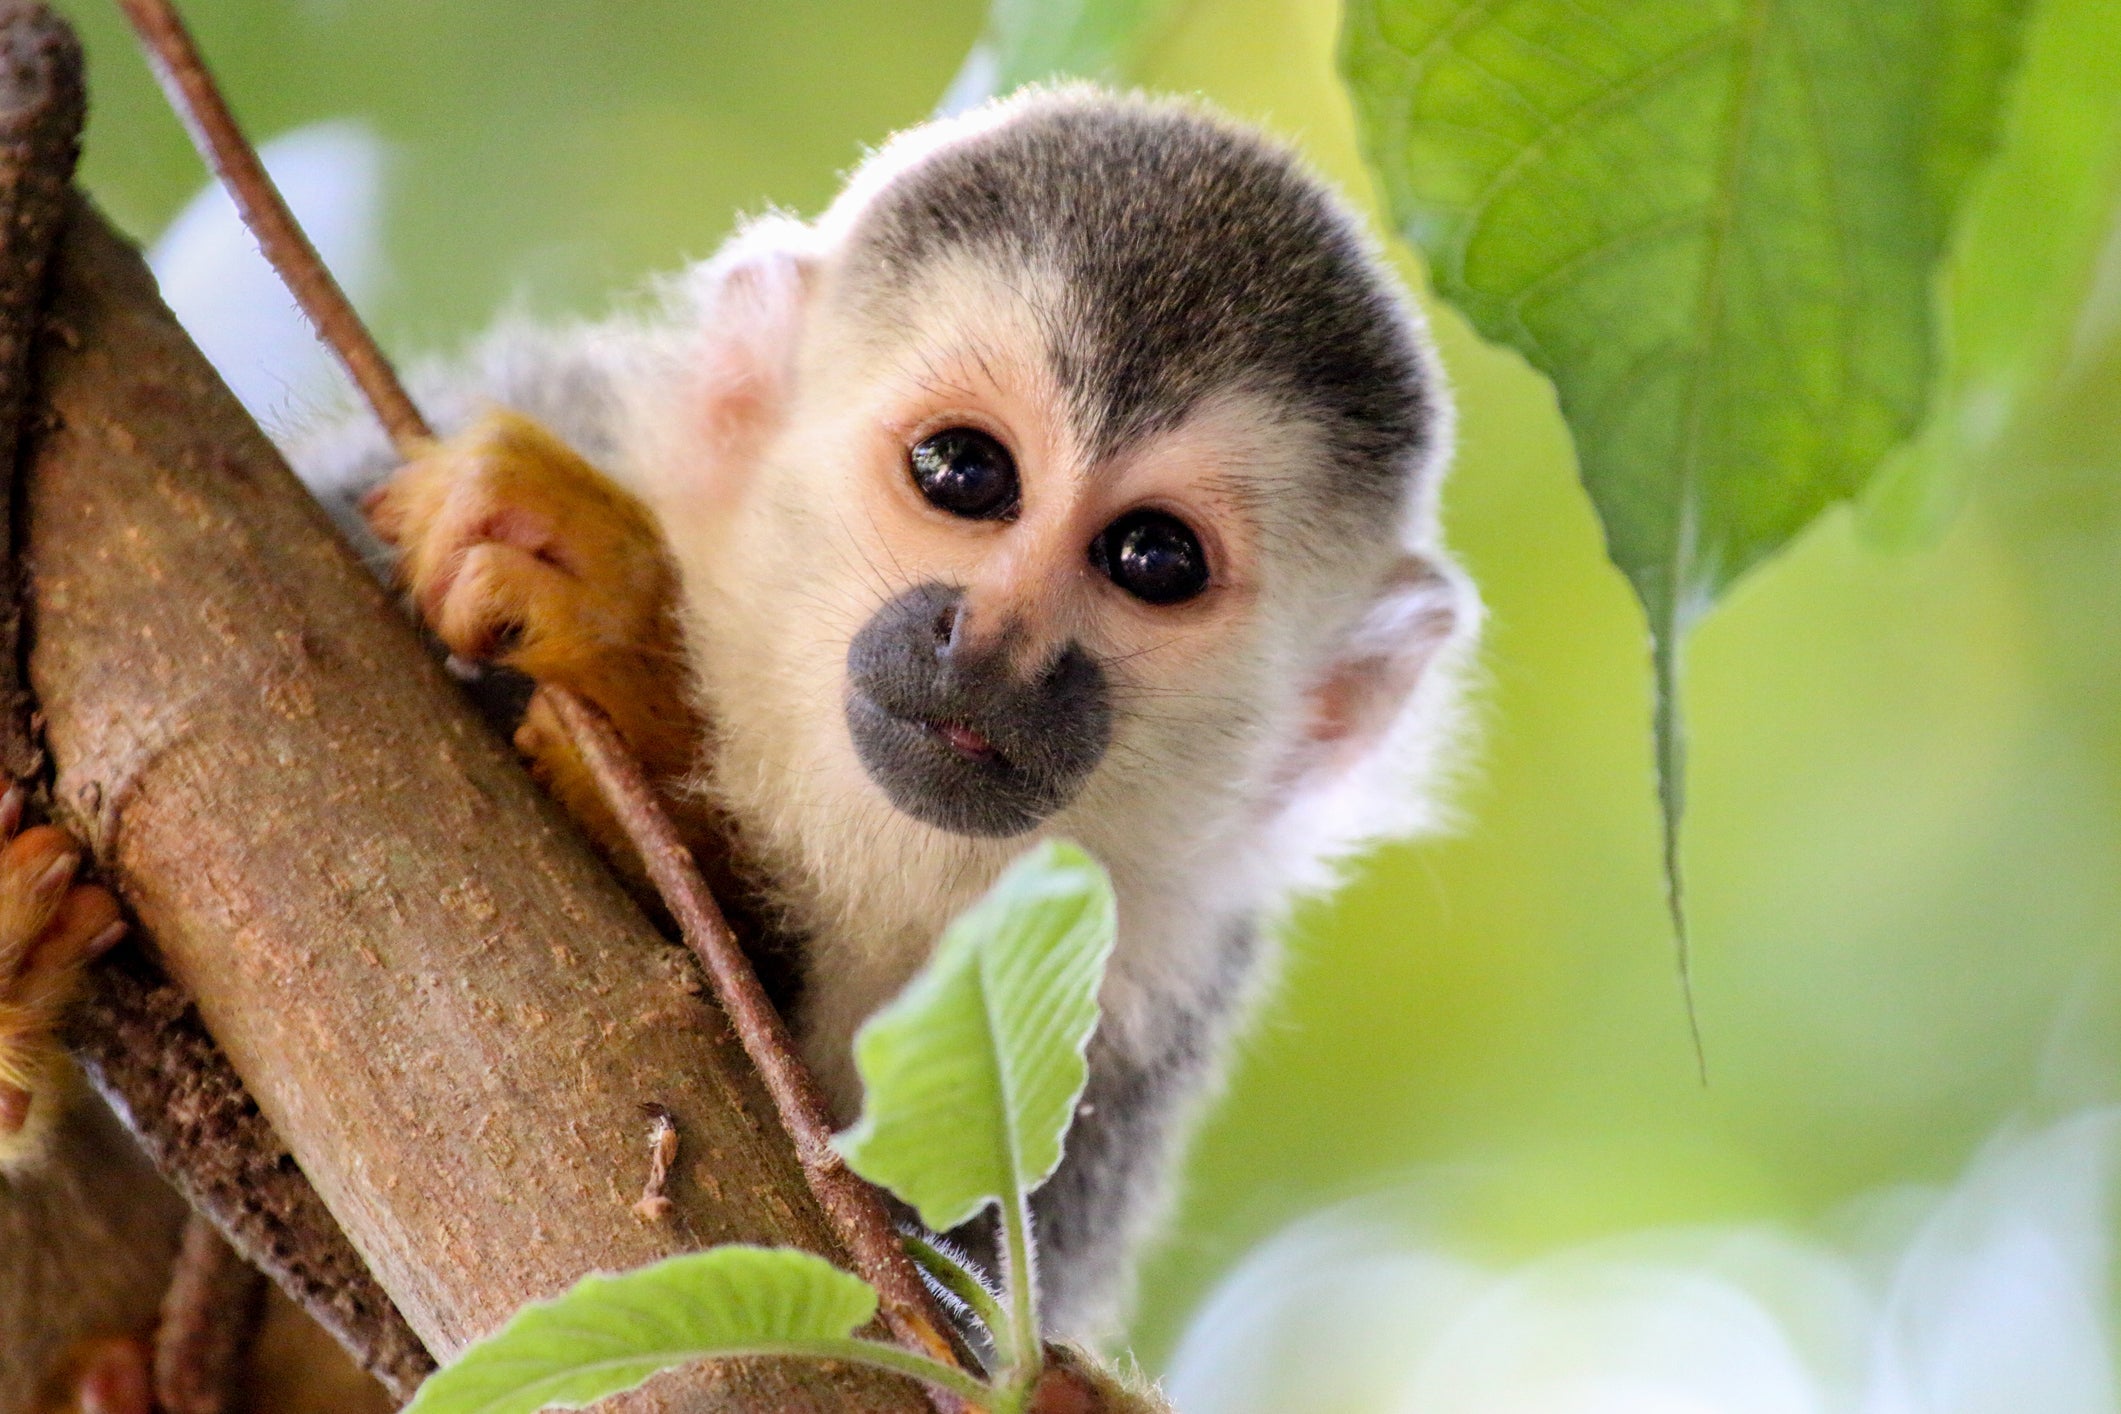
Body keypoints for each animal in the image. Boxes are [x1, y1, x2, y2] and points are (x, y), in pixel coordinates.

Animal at [0, 84, 1476, 1379]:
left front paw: (638, 707)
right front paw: (628, 647)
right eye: (965, 472)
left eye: (1153, 558)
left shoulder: (1147, 1002)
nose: (993, 640)